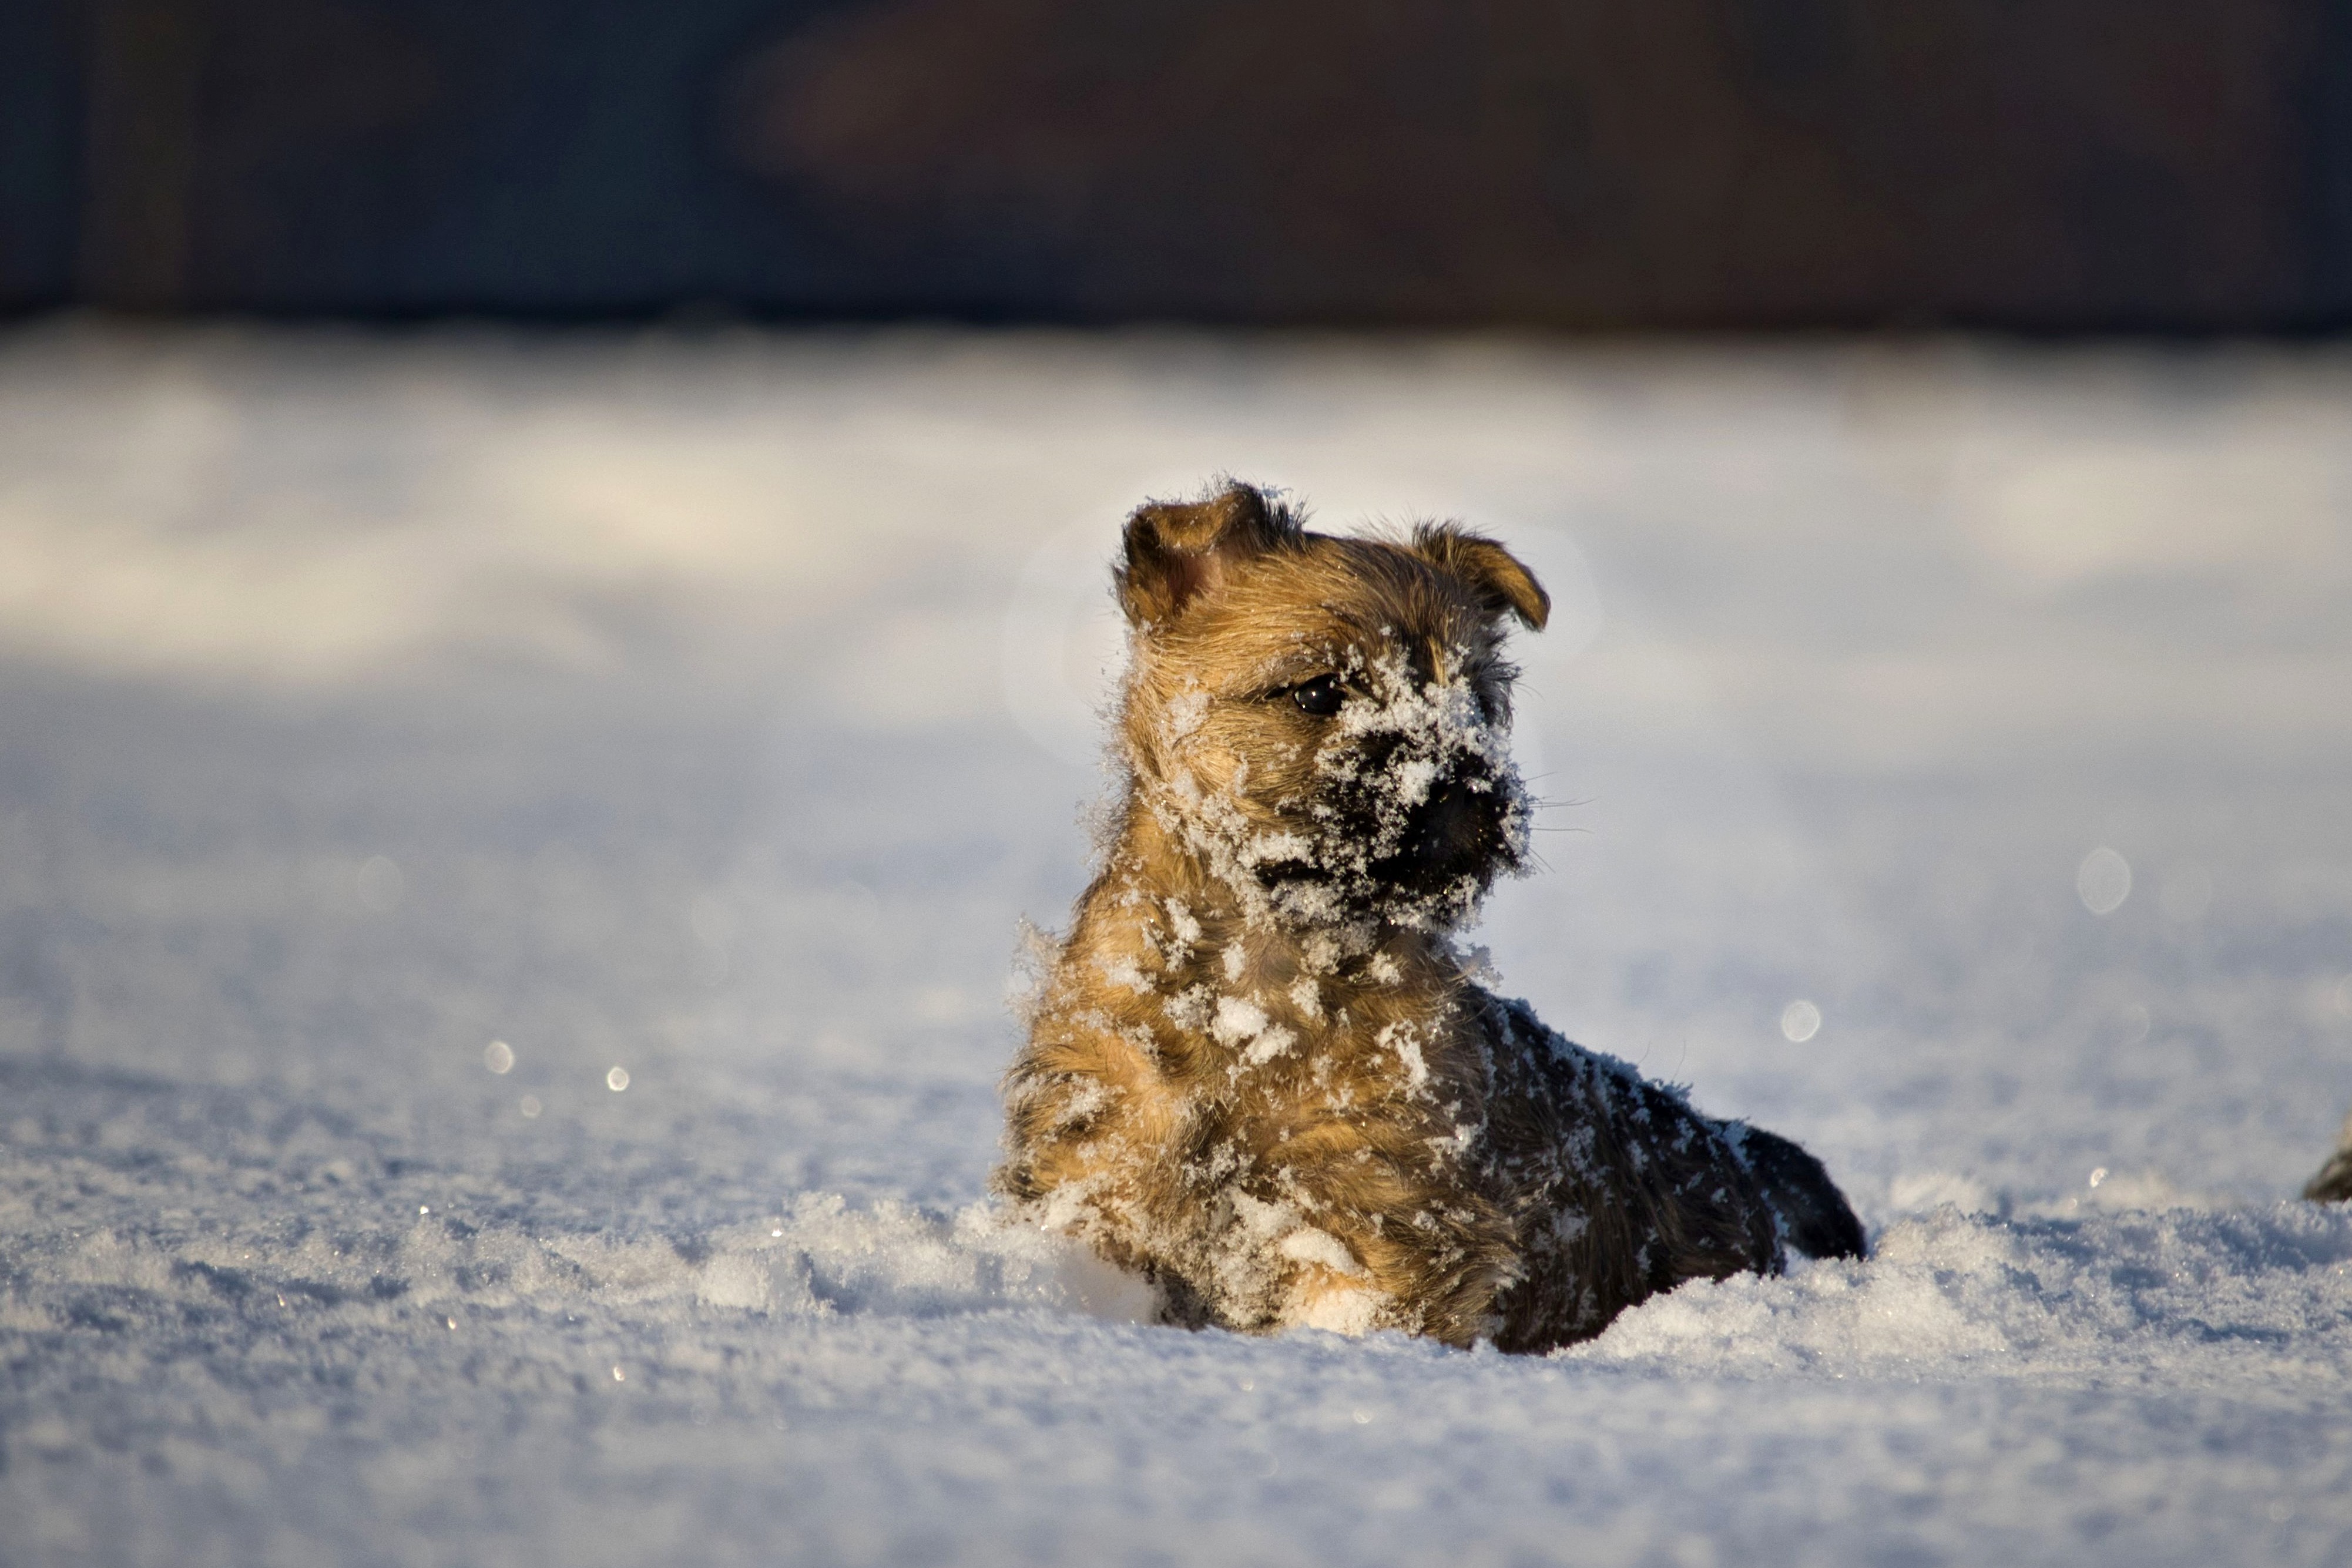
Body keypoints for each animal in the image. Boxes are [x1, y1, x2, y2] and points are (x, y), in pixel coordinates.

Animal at [1002, 479, 1863, 1354]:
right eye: (1319, 690)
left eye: (1476, 700)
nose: (1466, 784)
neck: (1262, 983)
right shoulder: (1103, 1162)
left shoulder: (1383, 1210)